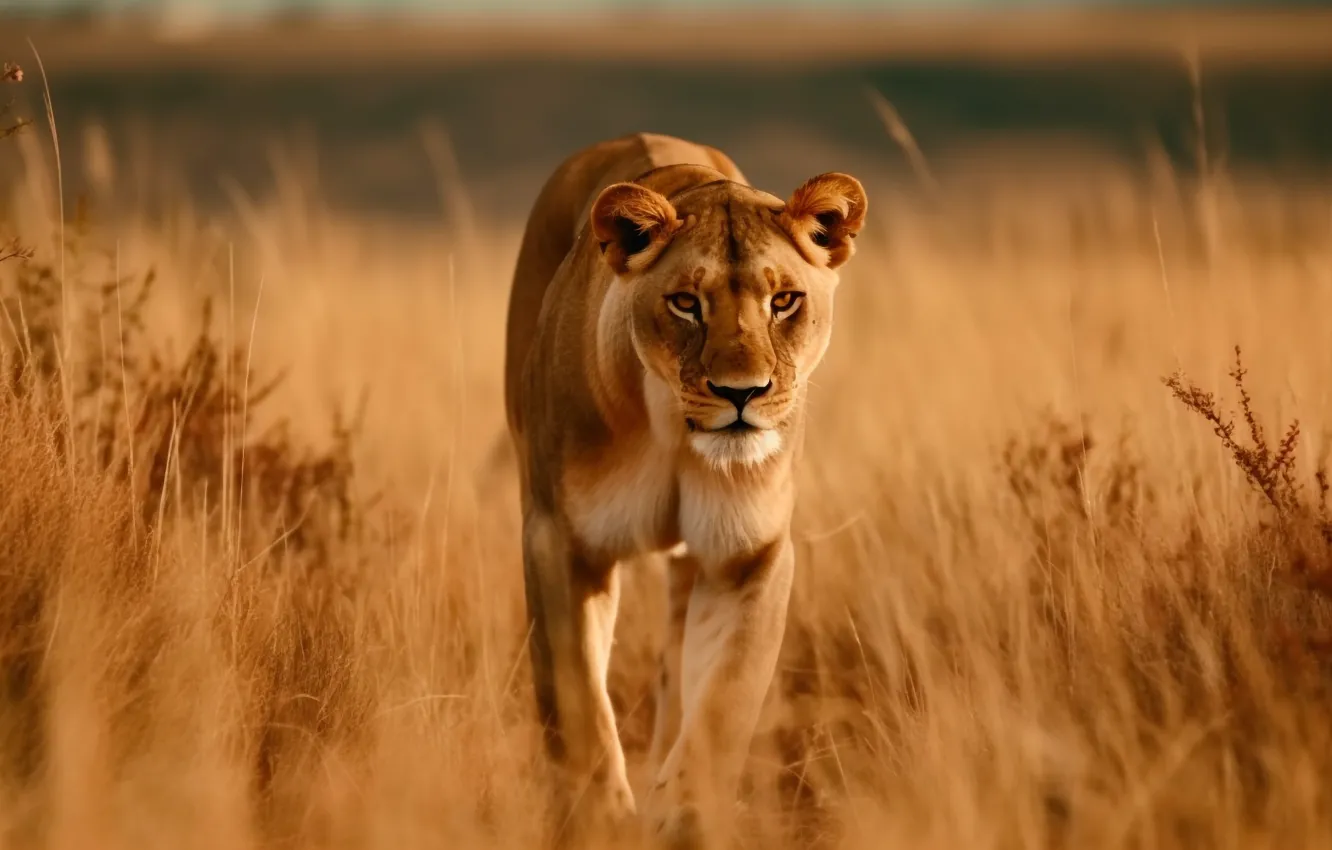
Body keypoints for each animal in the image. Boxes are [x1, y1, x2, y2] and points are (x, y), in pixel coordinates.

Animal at [504, 132, 867, 848]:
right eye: (685, 303)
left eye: (784, 301)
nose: (741, 393)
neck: (674, 430)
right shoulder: (558, 538)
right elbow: (578, 699)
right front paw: (599, 819)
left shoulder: (748, 556)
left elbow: (724, 704)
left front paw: (686, 814)